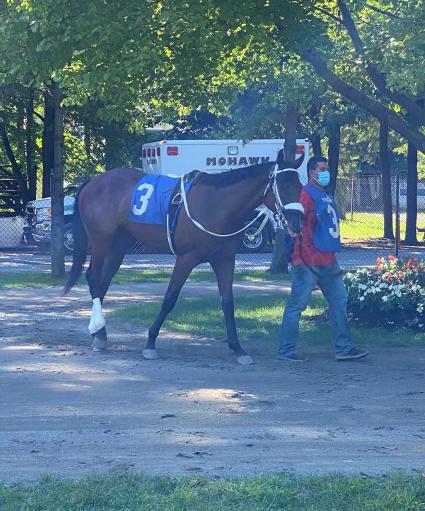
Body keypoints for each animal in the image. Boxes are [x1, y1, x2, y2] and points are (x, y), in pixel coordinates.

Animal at [63, 150, 304, 366]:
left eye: (300, 187)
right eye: (282, 186)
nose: (296, 224)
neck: (216, 205)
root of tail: (95, 181)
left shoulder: (225, 259)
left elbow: (227, 302)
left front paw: (238, 348)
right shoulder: (186, 258)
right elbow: (170, 298)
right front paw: (150, 342)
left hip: (118, 245)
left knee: (103, 283)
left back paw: (99, 333)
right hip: (101, 240)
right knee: (94, 278)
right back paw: (98, 331)